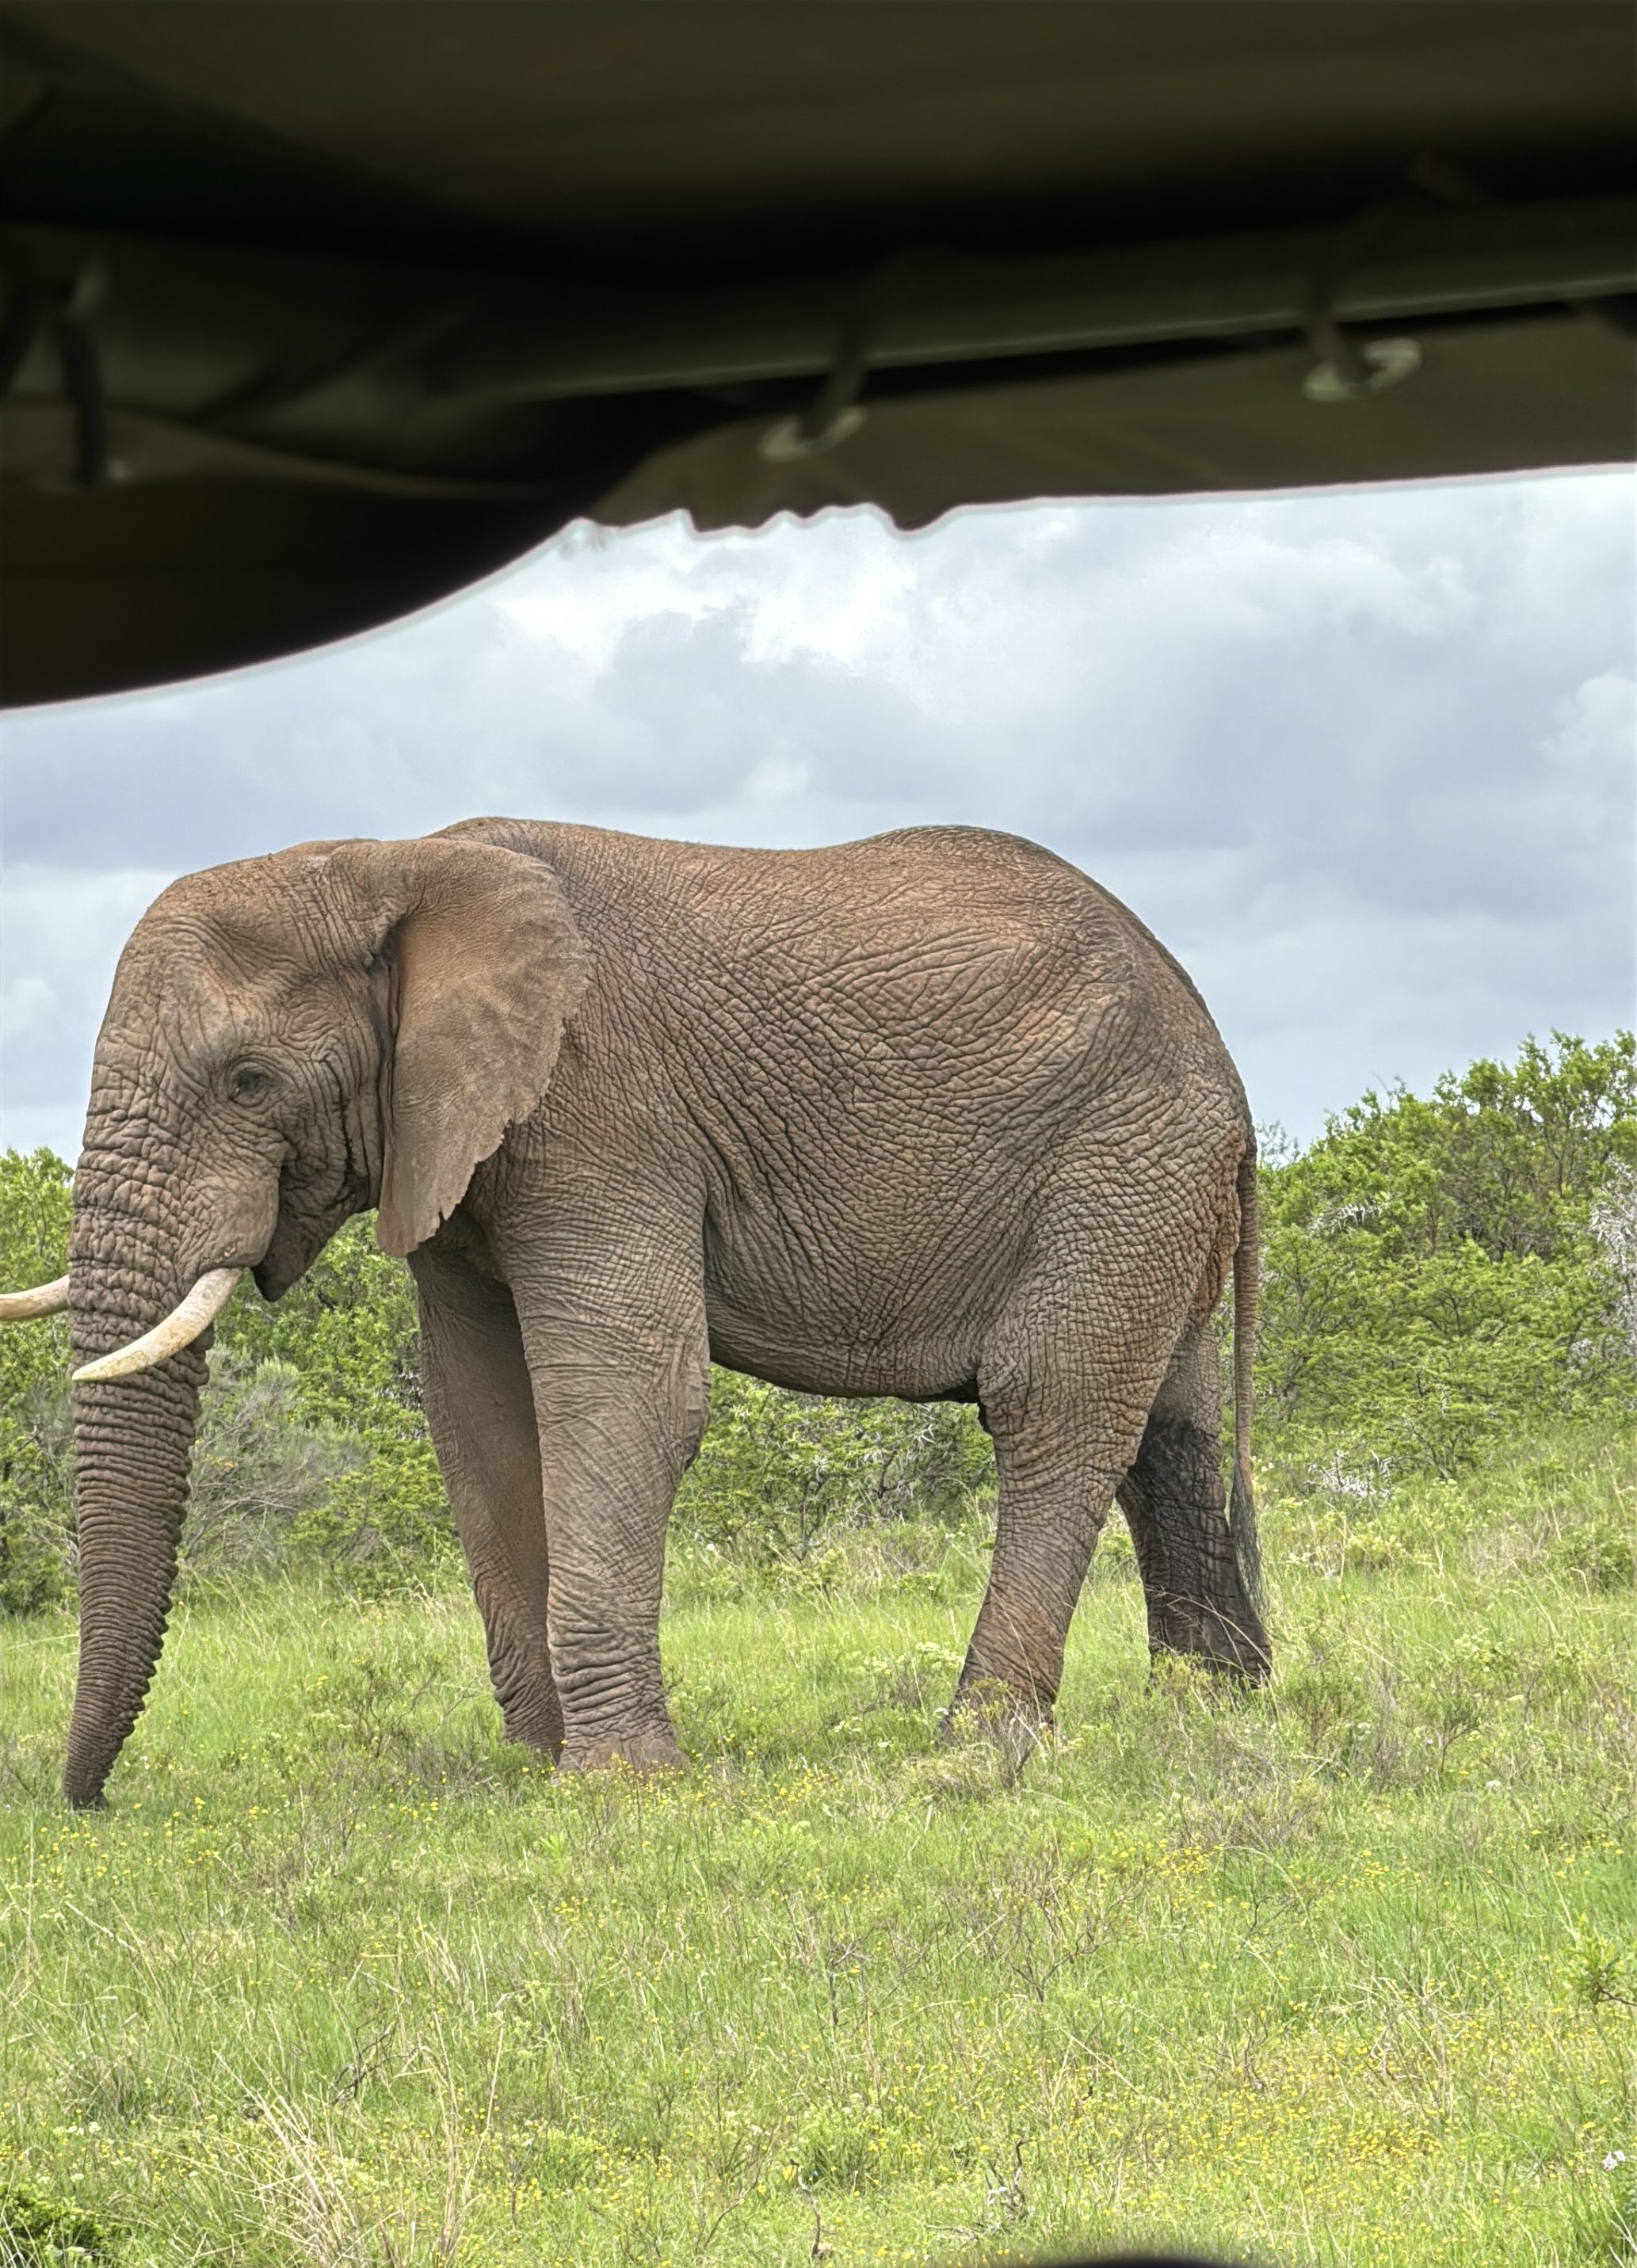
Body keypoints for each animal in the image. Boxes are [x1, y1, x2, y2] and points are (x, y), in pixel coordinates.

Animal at [1, 819, 1269, 1806]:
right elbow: (477, 1418)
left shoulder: (599, 1111)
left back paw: (974, 1751)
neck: (387, 863)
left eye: (248, 1080)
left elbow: (630, 1396)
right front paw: (537, 1761)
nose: (91, 1801)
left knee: (1053, 1405)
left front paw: (616, 1782)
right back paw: (1210, 1716)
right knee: (1171, 1428)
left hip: (1119, 1159)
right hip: (1151, 1184)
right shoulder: (459, 1150)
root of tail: (1220, 1052)